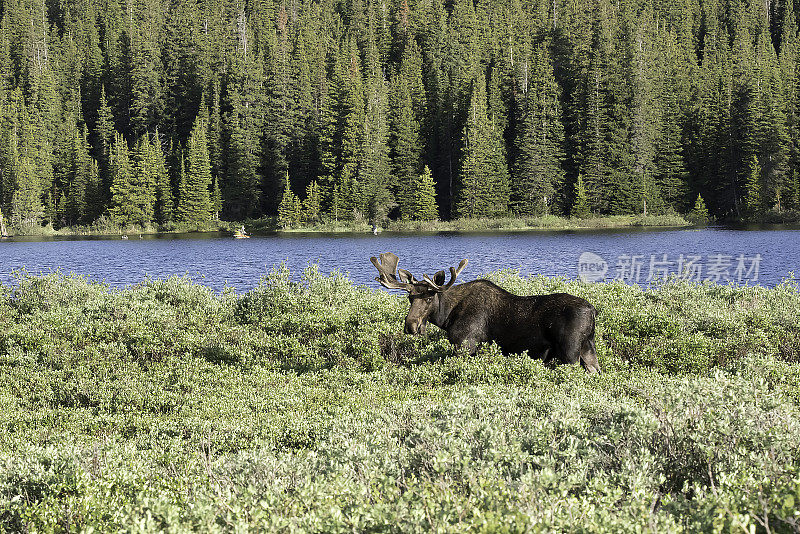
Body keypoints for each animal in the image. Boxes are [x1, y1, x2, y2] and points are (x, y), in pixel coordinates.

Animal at [372, 254, 596, 372]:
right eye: (409, 298)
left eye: (428, 298)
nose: (411, 326)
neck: (447, 316)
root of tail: (592, 310)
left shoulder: (466, 345)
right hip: (588, 349)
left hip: (570, 352)